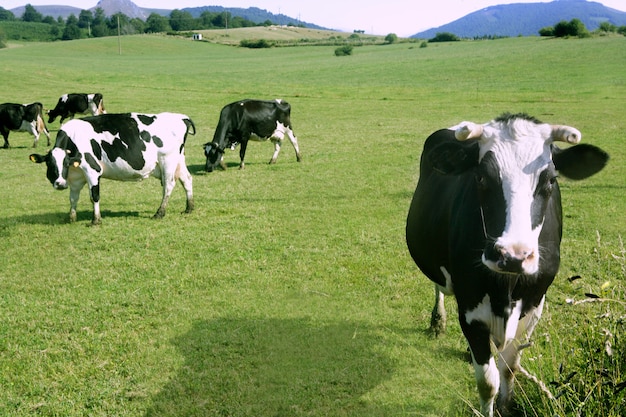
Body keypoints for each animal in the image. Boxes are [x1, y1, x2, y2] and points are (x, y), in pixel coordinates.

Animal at [28, 111, 193, 224]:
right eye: (50, 164)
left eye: (65, 163)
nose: (60, 184)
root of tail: (181, 117)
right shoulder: (76, 177)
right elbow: (73, 198)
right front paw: (71, 218)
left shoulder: (92, 170)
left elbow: (94, 196)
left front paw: (96, 220)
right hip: (179, 161)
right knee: (187, 179)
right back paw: (189, 207)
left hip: (168, 161)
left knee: (168, 186)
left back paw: (160, 213)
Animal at [402, 112, 608, 414]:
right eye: (480, 177)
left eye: (551, 180)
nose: (512, 255)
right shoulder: (470, 309)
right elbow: (487, 381)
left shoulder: (534, 305)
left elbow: (509, 367)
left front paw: (506, 406)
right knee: (439, 286)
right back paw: (437, 321)